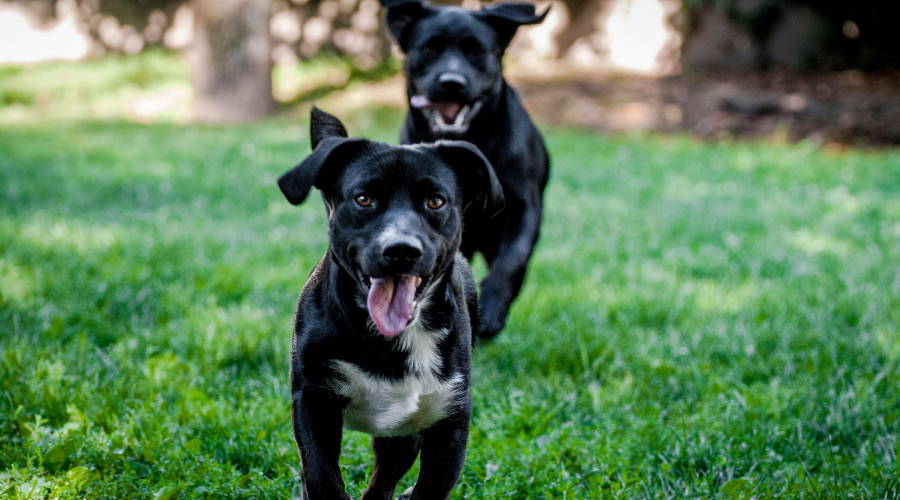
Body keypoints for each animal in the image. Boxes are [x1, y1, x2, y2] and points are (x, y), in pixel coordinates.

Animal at [278, 107, 502, 498]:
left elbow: (427, 488)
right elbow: (322, 478)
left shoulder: (448, 419)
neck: (390, 340)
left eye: (436, 201)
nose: (401, 250)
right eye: (364, 199)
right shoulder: (313, 402)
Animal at [380, 0, 548, 340]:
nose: (451, 82)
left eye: (476, 50)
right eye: (428, 48)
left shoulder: (523, 208)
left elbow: (512, 260)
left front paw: (492, 309)